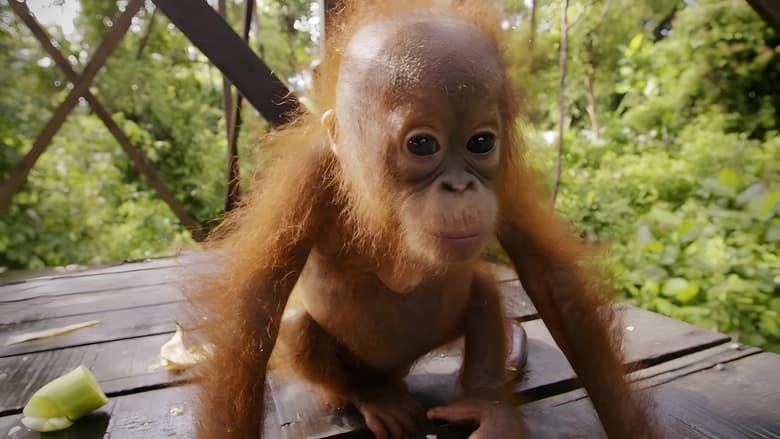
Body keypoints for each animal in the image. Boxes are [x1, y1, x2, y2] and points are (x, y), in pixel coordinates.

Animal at [188, 1, 660, 438]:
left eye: (481, 142)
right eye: (421, 144)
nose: (459, 187)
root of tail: (397, 375)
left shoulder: (503, 176)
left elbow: (551, 279)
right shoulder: (308, 173)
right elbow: (257, 307)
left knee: (482, 285)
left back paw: (488, 404)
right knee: (297, 327)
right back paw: (373, 398)